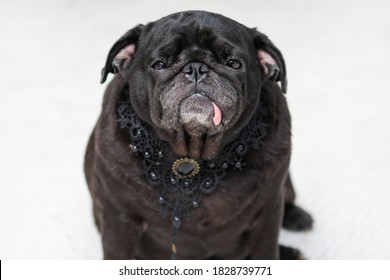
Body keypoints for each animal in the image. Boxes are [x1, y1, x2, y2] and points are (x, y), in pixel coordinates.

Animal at [84, 10, 312, 260]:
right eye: (160, 64)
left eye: (234, 63)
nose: (195, 68)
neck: (191, 156)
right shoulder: (119, 218)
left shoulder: (267, 213)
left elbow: (267, 250)